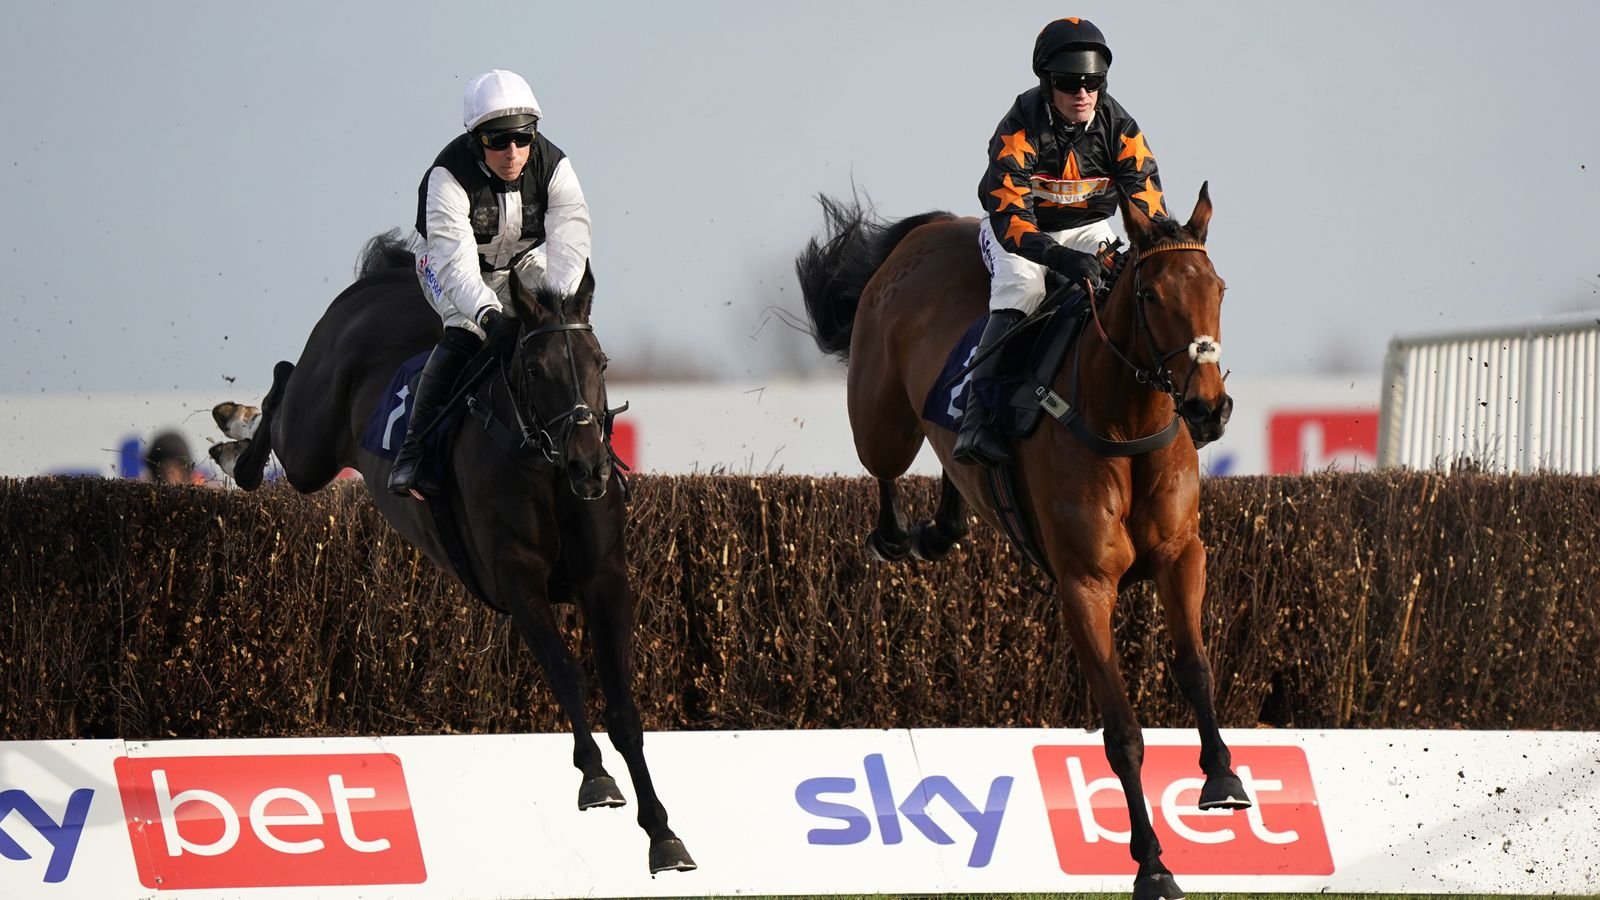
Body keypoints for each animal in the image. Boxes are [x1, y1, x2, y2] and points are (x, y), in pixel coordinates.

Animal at [208, 230, 694, 871]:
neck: (544, 468)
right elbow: (566, 672)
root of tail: (381, 277)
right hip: (311, 444)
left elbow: (624, 708)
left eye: (601, 363)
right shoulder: (516, 578)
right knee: (284, 386)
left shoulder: (605, 580)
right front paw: (595, 778)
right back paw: (231, 433)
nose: (590, 466)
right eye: (534, 368)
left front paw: (663, 833)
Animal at [800, 184, 1248, 896]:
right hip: (879, 414)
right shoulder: (1084, 584)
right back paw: (895, 537)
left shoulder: (1183, 555)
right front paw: (1151, 864)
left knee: (952, 461)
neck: (1124, 423)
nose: (1208, 408)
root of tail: (926, 231)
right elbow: (1122, 731)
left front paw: (1224, 776)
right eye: (1151, 296)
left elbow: (1195, 665)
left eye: (1218, 289)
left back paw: (942, 524)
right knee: (885, 467)